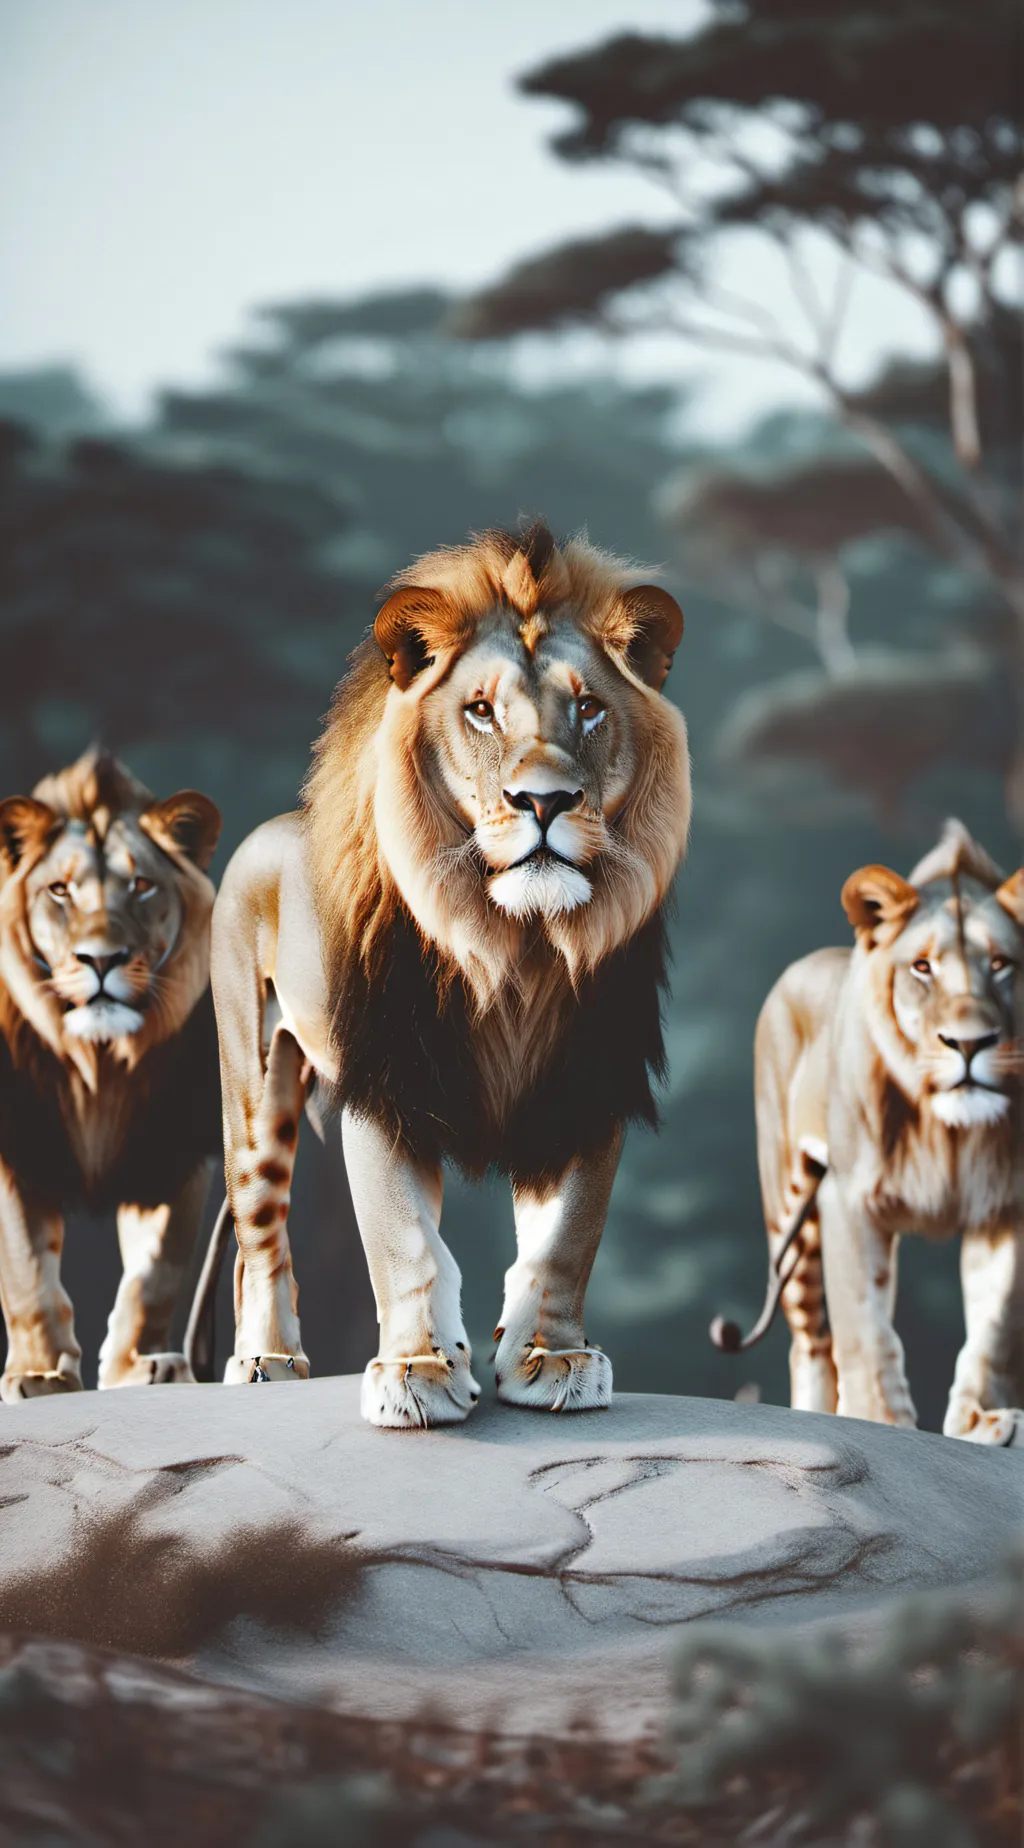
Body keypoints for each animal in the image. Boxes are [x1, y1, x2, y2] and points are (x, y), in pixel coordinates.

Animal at [0, 748, 222, 1399]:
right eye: (59, 891)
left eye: (141, 885)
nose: (101, 960)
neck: (100, 1065)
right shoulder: (14, 1150)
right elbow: (29, 1273)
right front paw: (40, 1373)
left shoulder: (174, 1152)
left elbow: (155, 1276)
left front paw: (142, 1368)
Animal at [191, 521, 689, 1426]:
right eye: (482, 710)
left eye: (589, 708)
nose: (544, 802)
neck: (518, 943)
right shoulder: (388, 1083)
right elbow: (404, 1241)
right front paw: (418, 1372)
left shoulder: (588, 1087)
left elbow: (566, 1241)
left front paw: (549, 1359)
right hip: (251, 1081)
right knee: (259, 1231)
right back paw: (265, 1360)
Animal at [712, 819, 1023, 1445]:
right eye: (922, 968)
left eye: (1002, 964)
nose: (970, 1043)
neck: (948, 1131)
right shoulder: (849, 1199)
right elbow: (867, 1334)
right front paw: (883, 1425)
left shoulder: (1004, 1209)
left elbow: (992, 1332)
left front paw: (982, 1424)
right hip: (791, 1207)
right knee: (812, 1344)